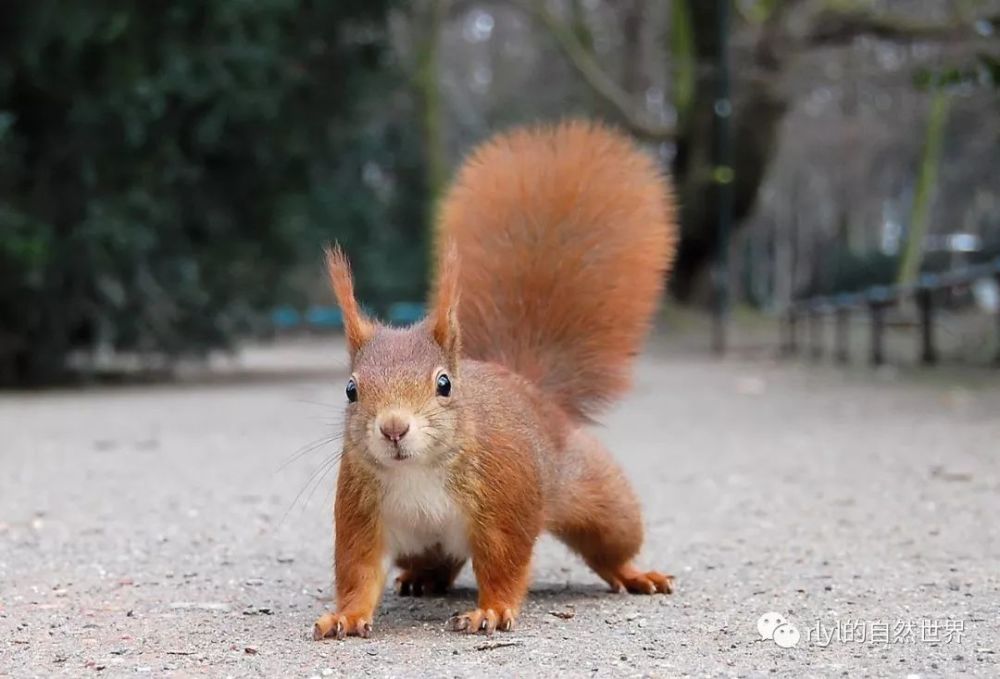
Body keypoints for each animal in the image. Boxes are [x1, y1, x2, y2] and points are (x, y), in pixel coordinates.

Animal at [312, 119, 680, 640]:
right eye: (350, 390)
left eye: (444, 384)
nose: (394, 428)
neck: (417, 471)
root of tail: (529, 386)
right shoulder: (362, 514)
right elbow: (358, 572)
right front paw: (345, 615)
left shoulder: (505, 503)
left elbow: (503, 563)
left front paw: (490, 610)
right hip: (421, 543)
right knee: (438, 561)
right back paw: (422, 579)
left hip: (600, 498)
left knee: (611, 545)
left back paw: (634, 574)